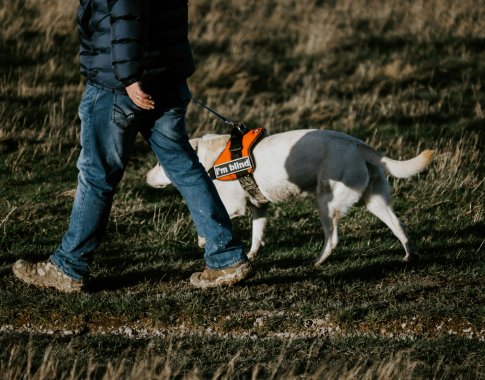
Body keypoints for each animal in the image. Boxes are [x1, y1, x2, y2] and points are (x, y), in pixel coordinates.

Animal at [146, 129, 432, 266]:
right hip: (375, 201)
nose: (145, 177)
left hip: (326, 202)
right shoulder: (259, 208)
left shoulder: (232, 206)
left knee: (332, 238)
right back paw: (410, 255)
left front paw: (203, 240)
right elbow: (257, 235)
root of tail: (360, 145)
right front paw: (250, 255)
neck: (208, 158)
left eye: (160, 163)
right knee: (399, 226)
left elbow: (204, 218)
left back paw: (317, 261)